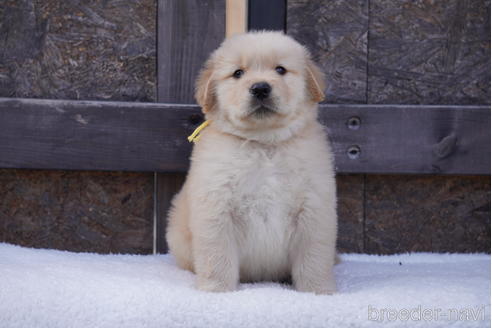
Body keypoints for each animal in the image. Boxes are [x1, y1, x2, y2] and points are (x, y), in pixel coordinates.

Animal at [167, 30, 336, 294]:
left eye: (280, 69)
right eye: (238, 73)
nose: (260, 88)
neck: (263, 144)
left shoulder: (314, 208)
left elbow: (314, 259)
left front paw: (318, 291)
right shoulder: (216, 208)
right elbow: (218, 258)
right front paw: (216, 290)